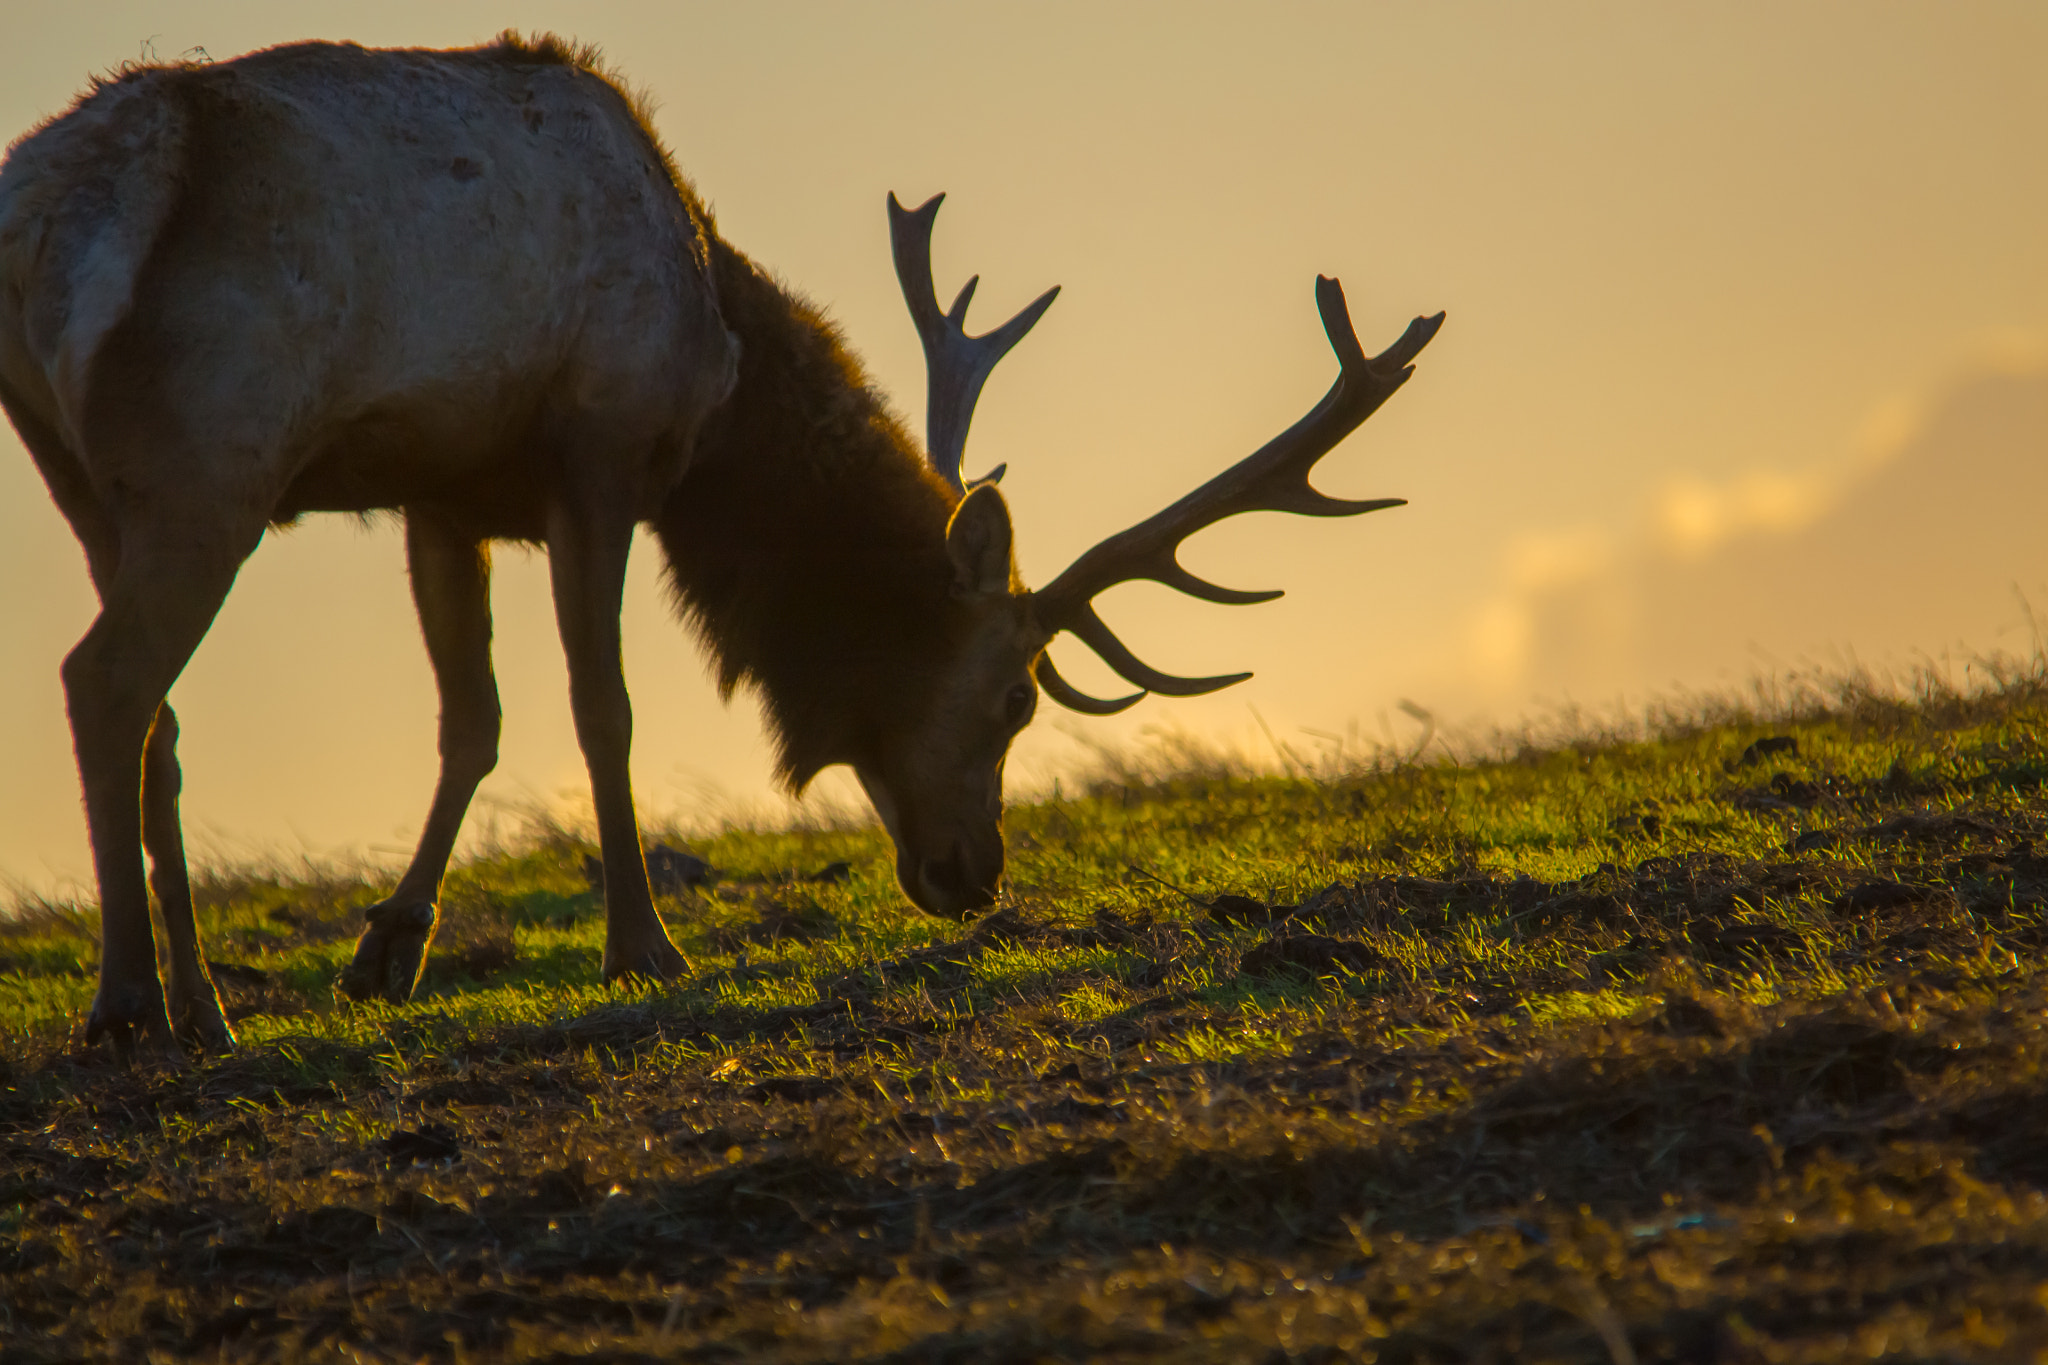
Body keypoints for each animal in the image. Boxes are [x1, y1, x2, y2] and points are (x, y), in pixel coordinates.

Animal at [0, 34, 1442, 1060]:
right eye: (1013, 697)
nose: (972, 877)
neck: (720, 370)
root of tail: (58, 224)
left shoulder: (443, 488)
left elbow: (471, 719)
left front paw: (388, 951)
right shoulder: (598, 450)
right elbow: (601, 707)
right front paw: (642, 945)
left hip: (85, 478)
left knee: (159, 720)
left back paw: (201, 1002)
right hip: (214, 458)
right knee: (104, 680)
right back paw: (125, 1003)